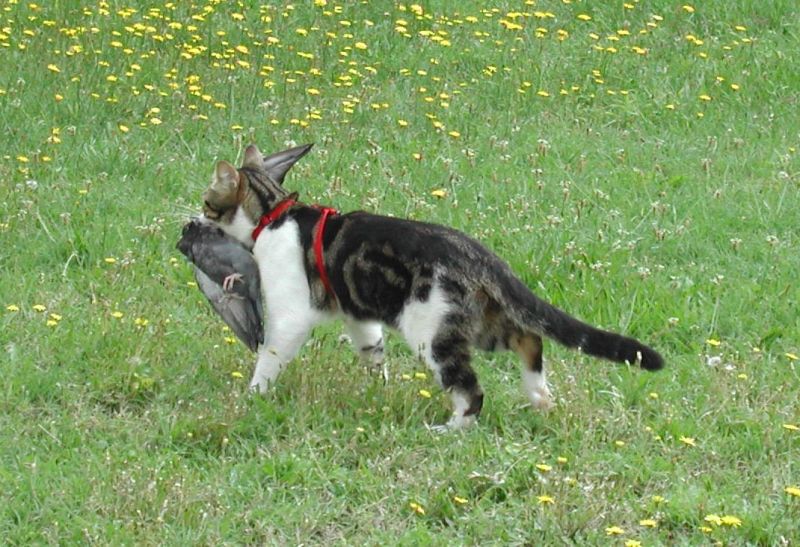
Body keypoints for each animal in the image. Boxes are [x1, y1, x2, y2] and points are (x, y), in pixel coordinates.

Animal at [198, 143, 664, 430]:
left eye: (207, 201)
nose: (195, 219)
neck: (273, 215)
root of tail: (482, 256)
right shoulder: (357, 313)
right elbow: (372, 350)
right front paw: (377, 387)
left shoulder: (291, 314)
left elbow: (269, 356)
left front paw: (253, 395)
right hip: (478, 324)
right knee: (529, 338)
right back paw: (538, 396)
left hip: (432, 331)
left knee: (472, 390)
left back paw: (452, 427)